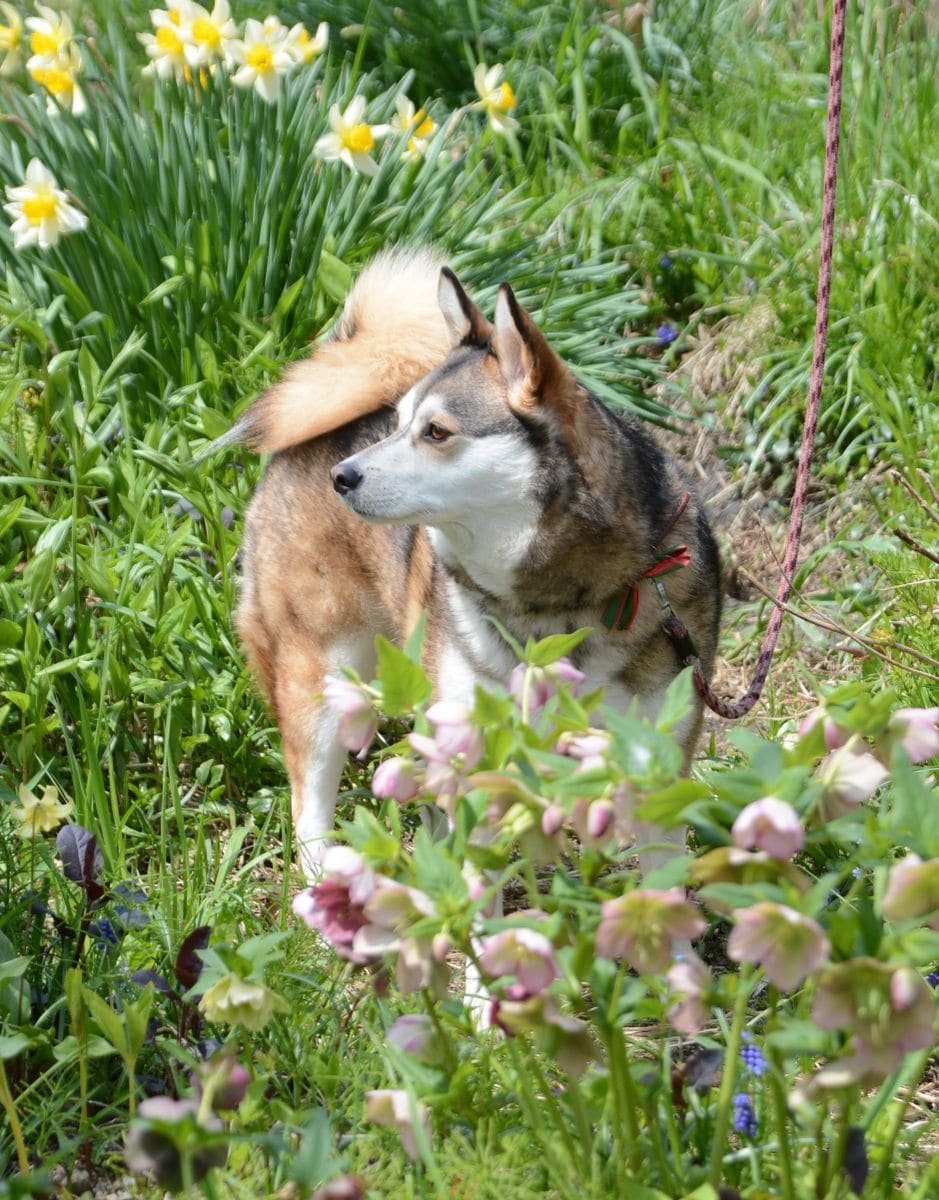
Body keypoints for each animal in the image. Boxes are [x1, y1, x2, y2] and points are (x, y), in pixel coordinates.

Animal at [225, 248, 720, 878]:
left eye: (435, 431)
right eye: (398, 423)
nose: (342, 476)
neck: (559, 604)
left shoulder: (655, 765)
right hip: (321, 676)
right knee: (310, 802)